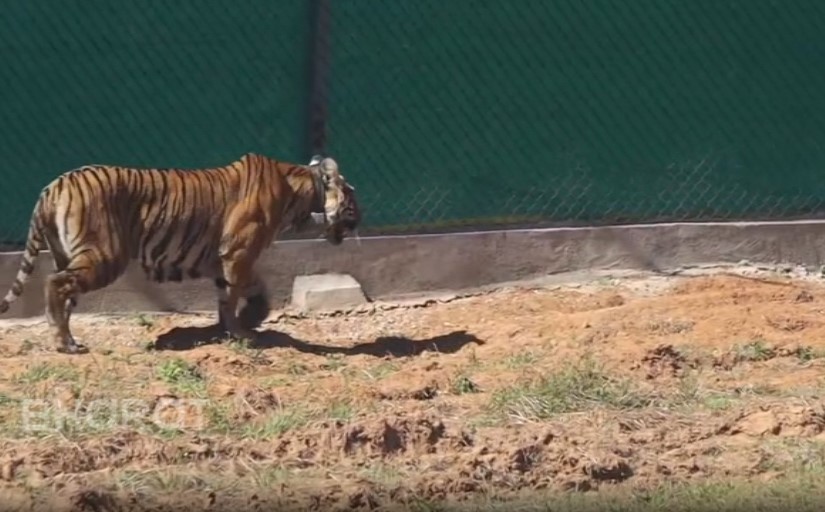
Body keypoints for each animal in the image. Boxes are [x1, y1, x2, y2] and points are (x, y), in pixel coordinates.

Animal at [0, 150, 362, 354]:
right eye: (353, 198)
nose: (362, 217)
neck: (301, 193)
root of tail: (52, 186)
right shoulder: (238, 252)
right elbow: (233, 296)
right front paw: (240, 332)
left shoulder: (227, 258)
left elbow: (249, 292)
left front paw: (246, 321)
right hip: (104, 254)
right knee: (55, 283)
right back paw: (63, 344)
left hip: (71, 254)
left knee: (64, 292)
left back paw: (68, 339)